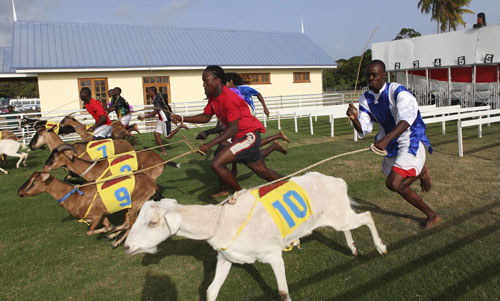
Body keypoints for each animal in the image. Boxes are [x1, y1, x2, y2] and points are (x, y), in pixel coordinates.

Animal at [19, 170, 160, 247]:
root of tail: (152, 184)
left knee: (131, 225)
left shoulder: (97, 215)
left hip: (135, 204)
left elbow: (90, 231)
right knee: (128, 223)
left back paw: (116, 242)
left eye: (33, 182)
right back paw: (113, 236)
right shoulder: (103, 216)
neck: (74, 196)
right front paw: (111, 230)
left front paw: (109, 231)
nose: (19, 192)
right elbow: (108, 225)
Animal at [124, 171, 386, 300]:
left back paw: (381, 248)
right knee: (348, 226)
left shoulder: (273, 254)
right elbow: (210, 291)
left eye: (153, 223)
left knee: (367, 217)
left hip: (341, 214)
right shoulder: (226, 258)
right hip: (338, 214)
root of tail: (337, 181)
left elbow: (283, 292)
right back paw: (353, 248)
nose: (127, 247)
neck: (221, 221)